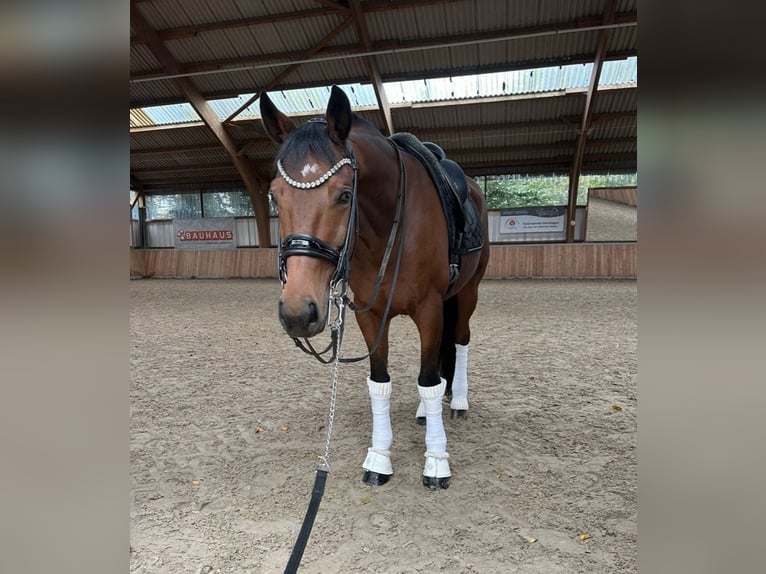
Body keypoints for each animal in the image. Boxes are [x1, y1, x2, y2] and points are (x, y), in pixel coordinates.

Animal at [260, 85, 492, 490]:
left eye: (344, 195)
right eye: (275, 195)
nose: (298, 313)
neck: (388, 228)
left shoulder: (429, 309)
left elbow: (428, 380)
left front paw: (436, 462)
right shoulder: (370, 313)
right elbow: (380, 382)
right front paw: (379, 457)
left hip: (467, 294)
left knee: (460, 340)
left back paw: (459, 402)